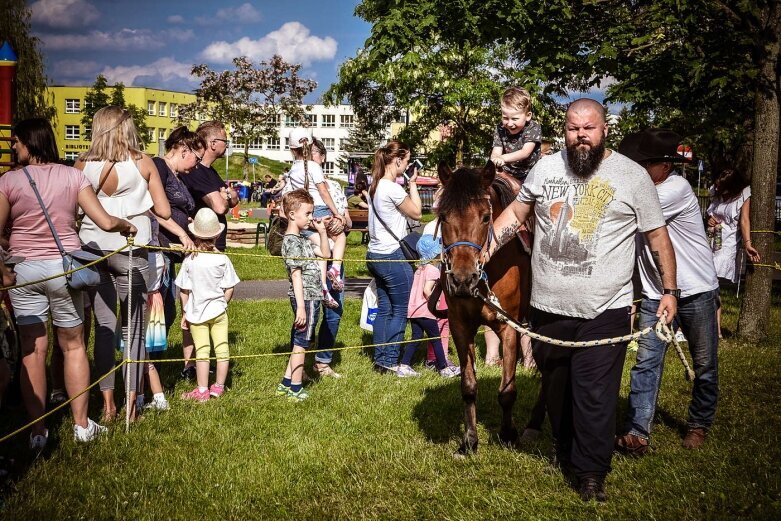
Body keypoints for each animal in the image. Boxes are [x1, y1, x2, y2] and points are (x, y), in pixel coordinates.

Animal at [430, 161, 532, 456]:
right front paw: (469, 441)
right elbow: (468, 386)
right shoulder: (460, 327)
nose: (463, 279)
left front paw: (508, 435)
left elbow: (507, 390)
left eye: (486, 217)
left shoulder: (509, 328)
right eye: (443, 216)